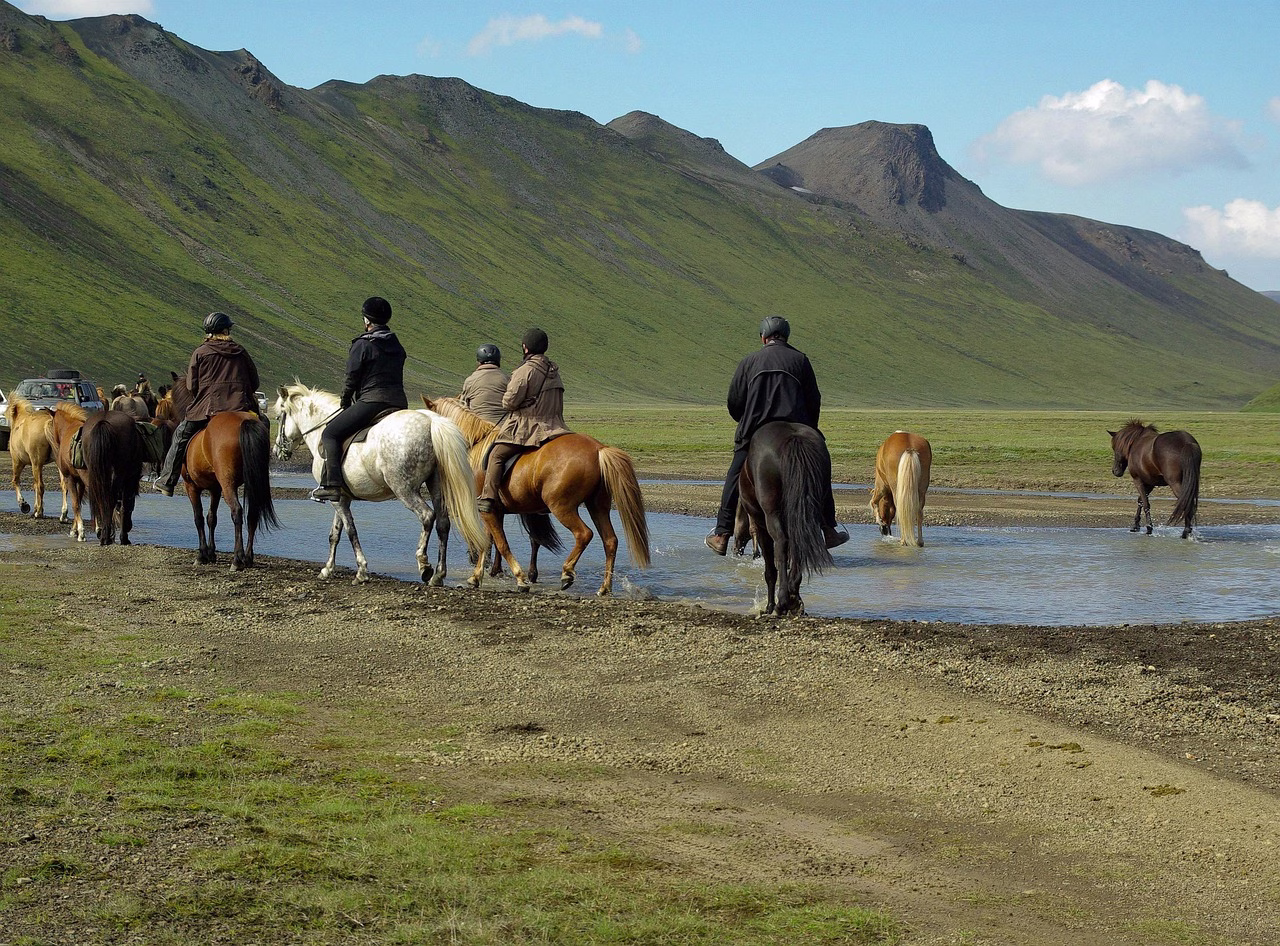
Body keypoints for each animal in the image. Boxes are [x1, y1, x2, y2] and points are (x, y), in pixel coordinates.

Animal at [47, 404, 143, 545]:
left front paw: (80, 532)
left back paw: (106, 534)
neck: (68, 429)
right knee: (117, 501)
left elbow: (76, 504)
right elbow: (79, 502)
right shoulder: (80, 481)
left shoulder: (71, 478)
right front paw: (77, 529)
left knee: (103, 499)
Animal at [165, 376, 278, 570]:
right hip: (252, 481)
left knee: (237, 511)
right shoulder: (215, 488)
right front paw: (211, 553)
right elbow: (212, 517)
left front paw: (202, 554)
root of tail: (245, 421)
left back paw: (237, 559)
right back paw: (248, 557)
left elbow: (198, 517)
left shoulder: (191, 486)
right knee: (252, 513)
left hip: (228, 483)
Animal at [273, 383, 487, 585]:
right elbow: (334, 534)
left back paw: (424, 564)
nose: (276, 451)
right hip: (435, 485)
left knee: (427, 516)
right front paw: (327, 569)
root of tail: (431, 422)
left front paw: (361, 571)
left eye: (278, 416)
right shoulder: (341, 497)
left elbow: (350, 530)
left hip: (404, 489)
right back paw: (439, 575)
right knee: (443, 523)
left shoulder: (338, 500)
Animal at [424, 396, 651, 596]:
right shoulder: (492, 511)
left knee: (584, 534)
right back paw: (604, 588)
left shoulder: (489, 511)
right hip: (597, 506)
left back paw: (567, 573)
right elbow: (488, 543)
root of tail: (598, 448)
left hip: (562, 507)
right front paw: (475, 577)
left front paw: (520, 579)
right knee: (610, 541)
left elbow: (501, 544)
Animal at [737, 421, 834, 617]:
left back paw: (781, 601)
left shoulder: (760, 526)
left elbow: (770, 569)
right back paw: (794, 596)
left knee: (781, 544)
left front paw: (770, 606)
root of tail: (793, 436)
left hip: (771, 514)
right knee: (799, 542)